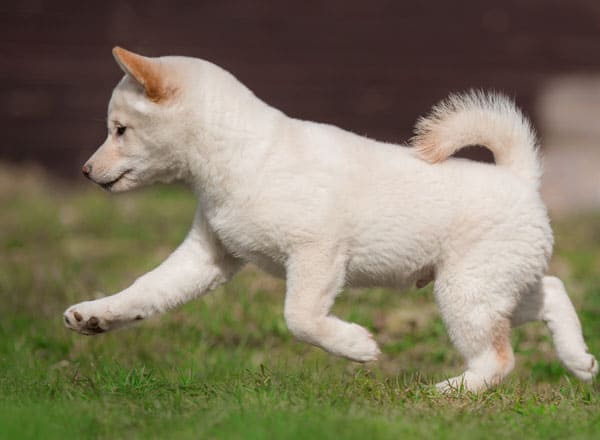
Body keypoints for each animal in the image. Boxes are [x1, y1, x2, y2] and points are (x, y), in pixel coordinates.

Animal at [63, 47, 596, 392]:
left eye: (119, 130)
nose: (85, 171)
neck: (244, 158)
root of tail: (519, 177)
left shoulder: (315, 253)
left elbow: (299, 318)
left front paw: (355, 346)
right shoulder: (206, 258)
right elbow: (145, 291)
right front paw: (96, 315)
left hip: (466, 294)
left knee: (499, 359)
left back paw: (445, 393)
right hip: (490, 290)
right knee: (552, 293)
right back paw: (579, 360)